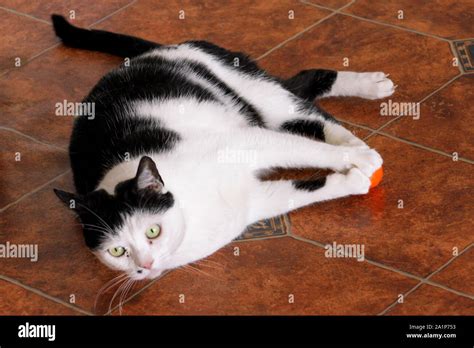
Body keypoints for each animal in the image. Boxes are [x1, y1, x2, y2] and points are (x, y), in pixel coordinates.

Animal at [51, 13, 392, 282]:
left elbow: (306, 151)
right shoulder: (255, 202)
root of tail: (161, 49)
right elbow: (304, 191)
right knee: (302, 98)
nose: (144, 266)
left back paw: (366, 105)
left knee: (304, 103)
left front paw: (360, 160)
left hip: (257, 92)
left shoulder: (248, 142)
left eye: (152, 231)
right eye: (117, 250)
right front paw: (352, 180)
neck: (192, 210)